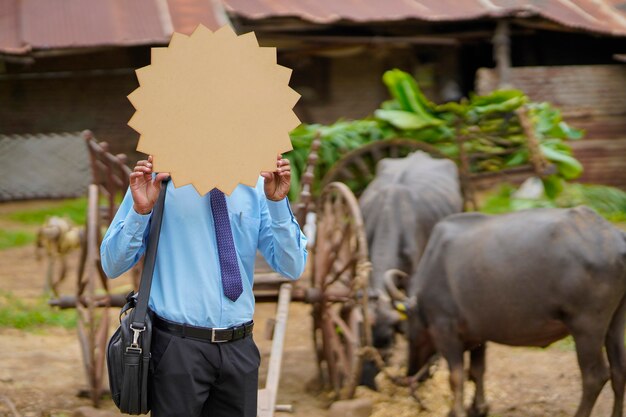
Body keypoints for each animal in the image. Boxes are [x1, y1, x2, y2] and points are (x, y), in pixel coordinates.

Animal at [404, 206, 624, 416]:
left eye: (404, 333)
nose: (410, 373)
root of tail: (615, 237)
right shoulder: (477, 336)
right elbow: (476, 371)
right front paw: (478, 408)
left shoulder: (444, 330)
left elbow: (456, 377)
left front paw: (457, 411)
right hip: (615, 321)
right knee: (619, 371)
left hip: (586, 327)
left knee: (595, 377)